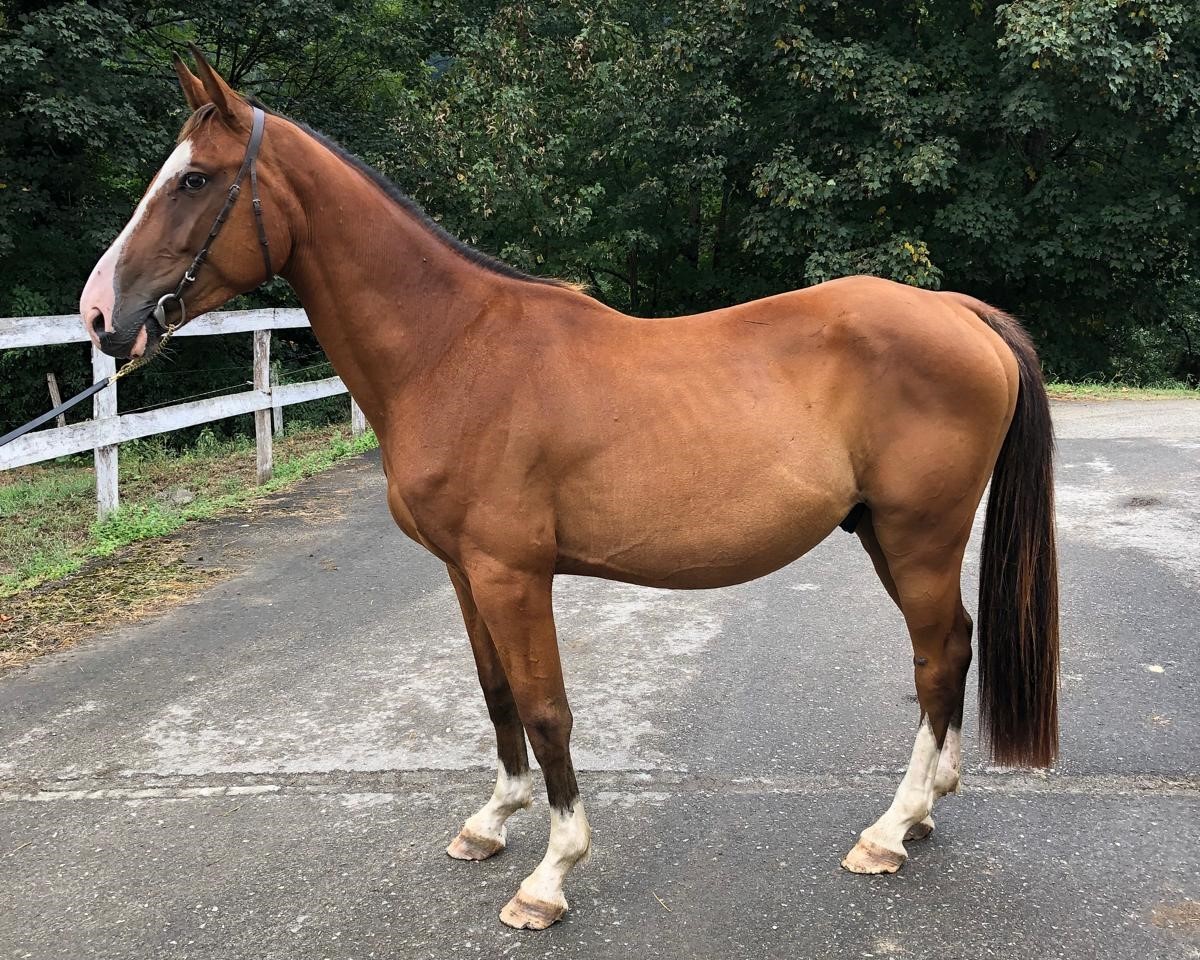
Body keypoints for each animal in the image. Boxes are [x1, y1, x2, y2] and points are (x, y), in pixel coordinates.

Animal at [79, 48, 1059, 930]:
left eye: (195, 180)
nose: (98, 316)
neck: (453, 349)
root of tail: (959, 311)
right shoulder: (465, 573)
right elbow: (497, 694)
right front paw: (492, 821)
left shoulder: (513, 573)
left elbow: (548, 710)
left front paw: (551, 874)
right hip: (884, 534)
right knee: (954, 647)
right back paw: (924, 810)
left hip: (919, 534)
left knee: (937, 658)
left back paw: (890, 830)